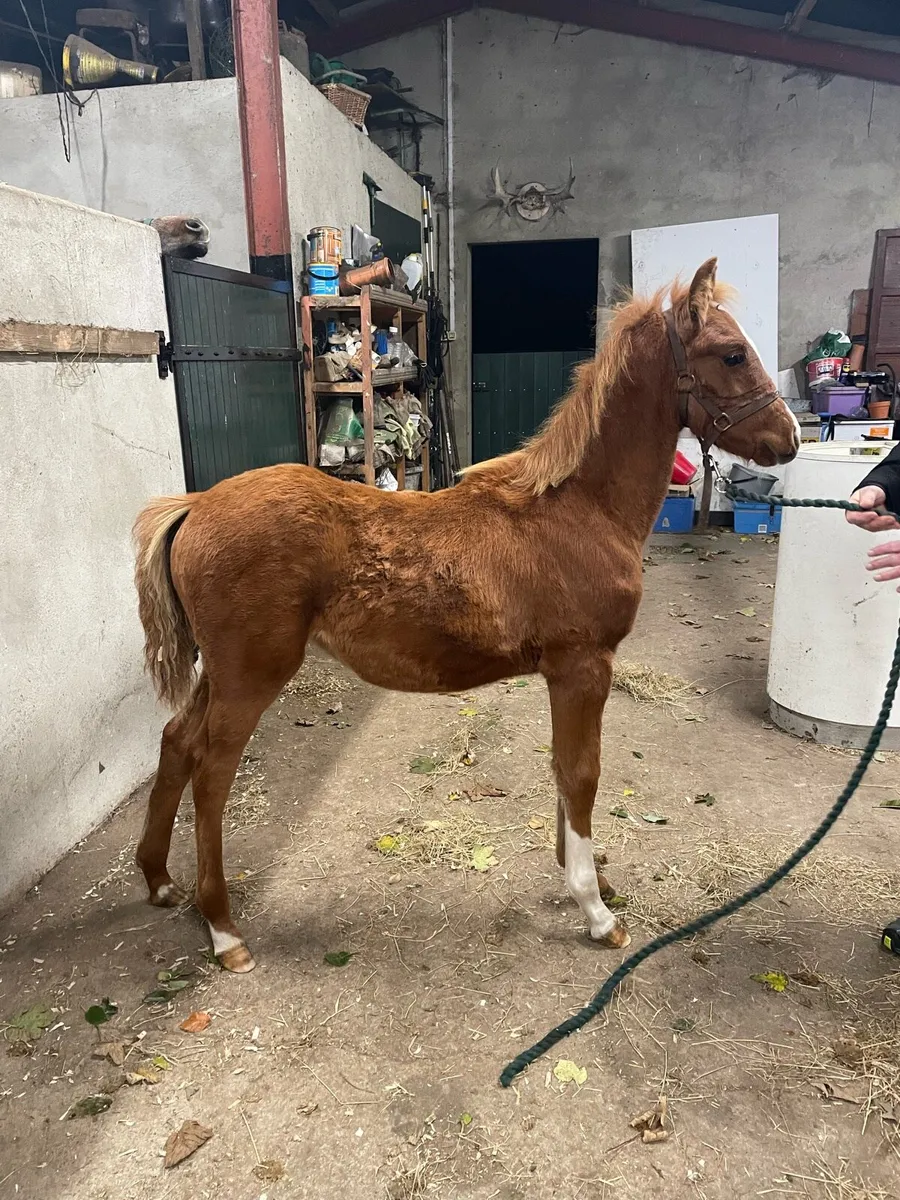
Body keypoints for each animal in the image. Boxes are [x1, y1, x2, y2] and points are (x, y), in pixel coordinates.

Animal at [133, 257, 799, 973]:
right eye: (731, 354)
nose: (788, 438)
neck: (579, 508)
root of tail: (194, 506)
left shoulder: (565, 674)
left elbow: (562, 771)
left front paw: (583, 878)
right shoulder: (584, 666)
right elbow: (582, 774)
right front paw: (596, 911)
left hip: (220, 673)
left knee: (175, 741)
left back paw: (161, 881)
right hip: (252, 674)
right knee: (211, 772)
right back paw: (224, 931)